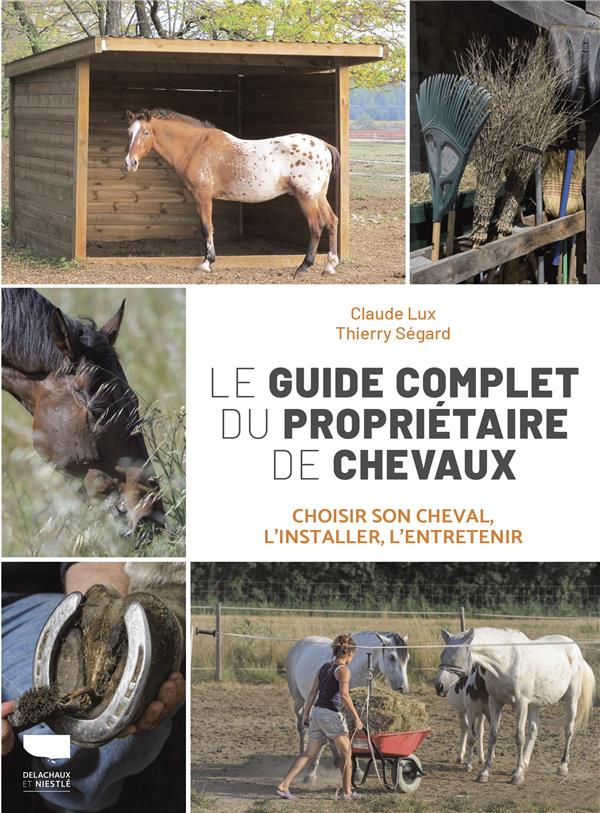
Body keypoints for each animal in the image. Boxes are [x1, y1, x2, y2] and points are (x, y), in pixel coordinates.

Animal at [124, 108, 340, 278]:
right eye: (129, 132)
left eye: (145, 132)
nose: (129, 163)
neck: (195, 146)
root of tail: (324, 145)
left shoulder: (202, 196)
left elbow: (207, 228)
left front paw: (206, 263)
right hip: (319, 195)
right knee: (332, 221)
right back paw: (329, 266)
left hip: (306, 196)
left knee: (316, 225)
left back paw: (304, 266)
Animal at [435, 627, 596, 786]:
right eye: (442, 655)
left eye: (456, 657)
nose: (439, 686)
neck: (507, 662)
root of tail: (576, 649)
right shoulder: (495, 703)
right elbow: (493, 736)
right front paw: (485, 772)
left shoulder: (521, 704)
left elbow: (519, 737)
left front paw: (518, 776)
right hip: (535, 705)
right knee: (534, 731)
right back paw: (524, 763)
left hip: (571, 699)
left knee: (568, 730)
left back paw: (562, 766)